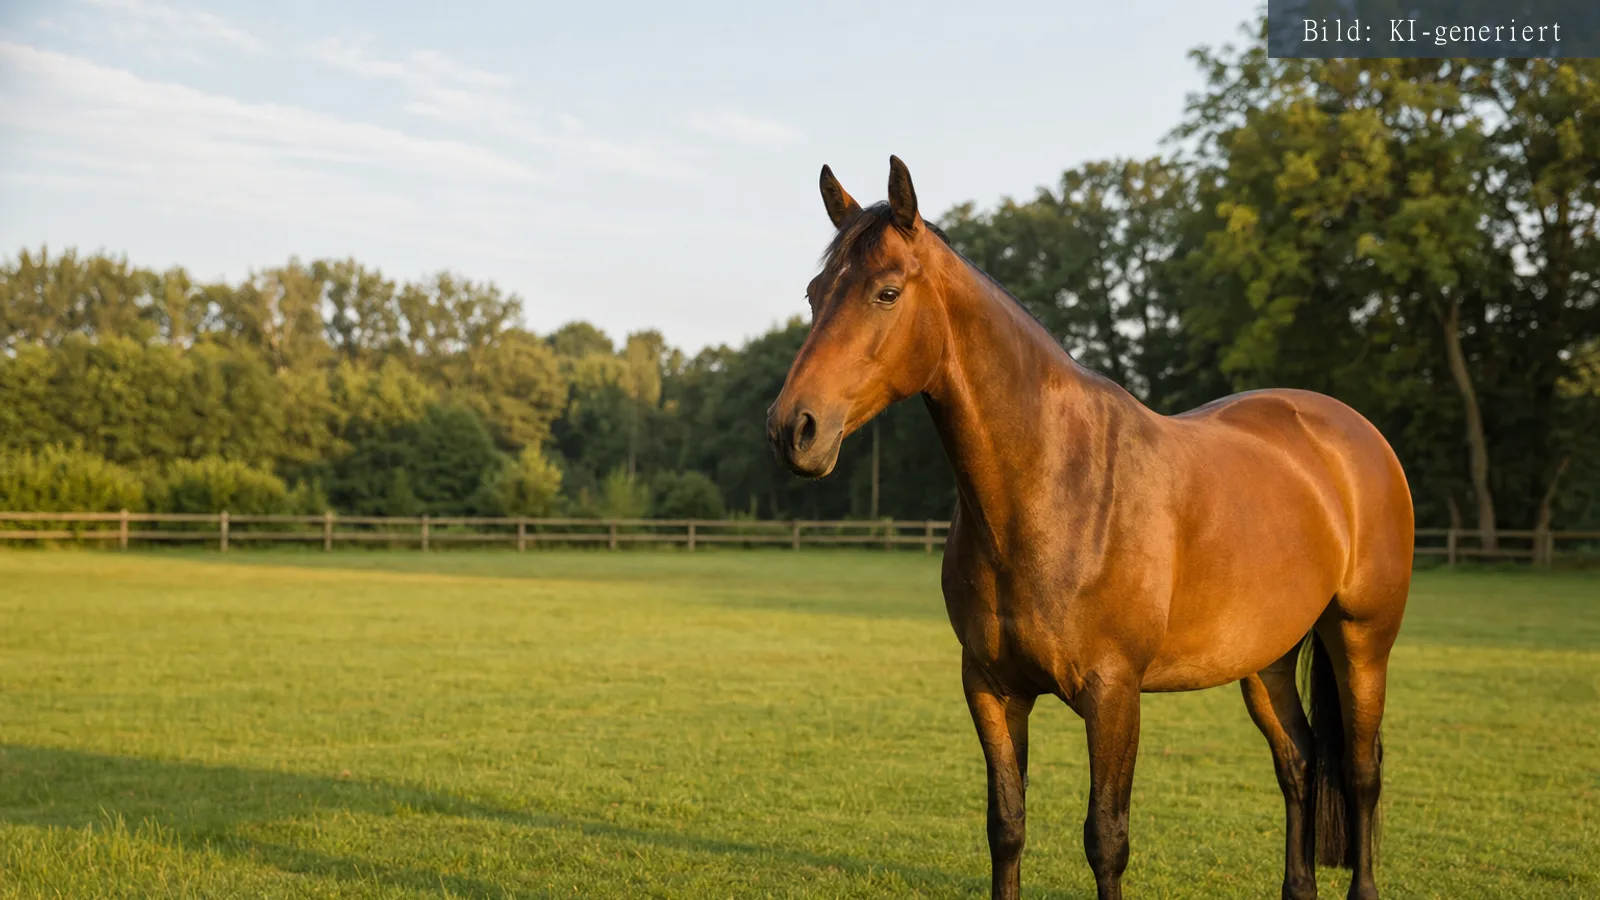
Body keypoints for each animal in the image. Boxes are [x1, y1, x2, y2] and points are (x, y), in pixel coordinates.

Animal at [766, 157, 1412, 900]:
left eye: (887, 292)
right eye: (815, 293)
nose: (793, 429)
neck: (1050, 488)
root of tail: (1353, 433)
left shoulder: (1114, 695)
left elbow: (1106, 840)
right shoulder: (991, 688)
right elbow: (1006, 827)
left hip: (1361, 640)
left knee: (1360, 773)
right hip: (1266, 657)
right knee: (1299, 762)